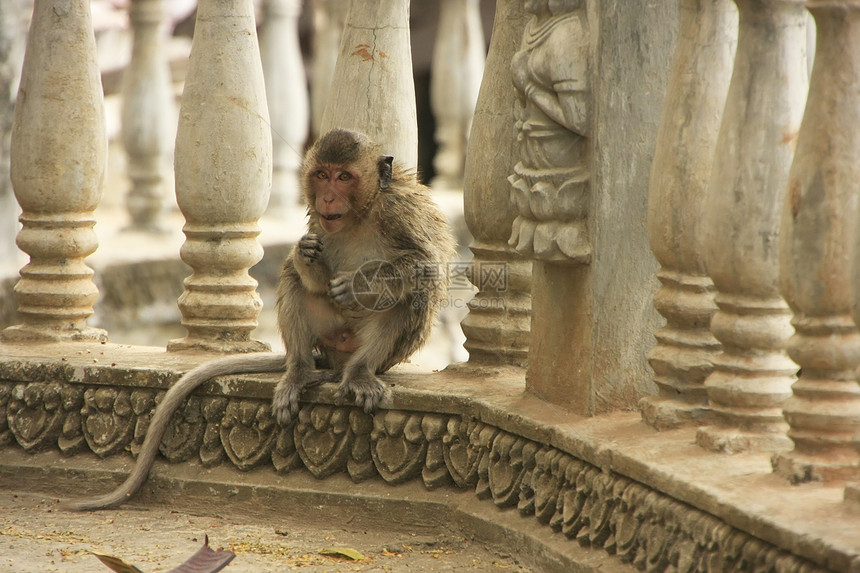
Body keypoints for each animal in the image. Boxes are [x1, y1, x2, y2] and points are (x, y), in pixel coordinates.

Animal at [61, 130, 460, 510]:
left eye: (345, 177)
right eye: (322, 176)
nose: (329, 199)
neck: (363, 211)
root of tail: (335, 358)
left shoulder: (399, 211)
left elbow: (425, 266)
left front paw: (358, 283)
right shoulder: (318, 223)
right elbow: (307, 266)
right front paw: (305, 255)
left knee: (412, 299)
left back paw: (360, 371)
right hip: (328, 332)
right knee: (294, 280)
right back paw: (299, 371)